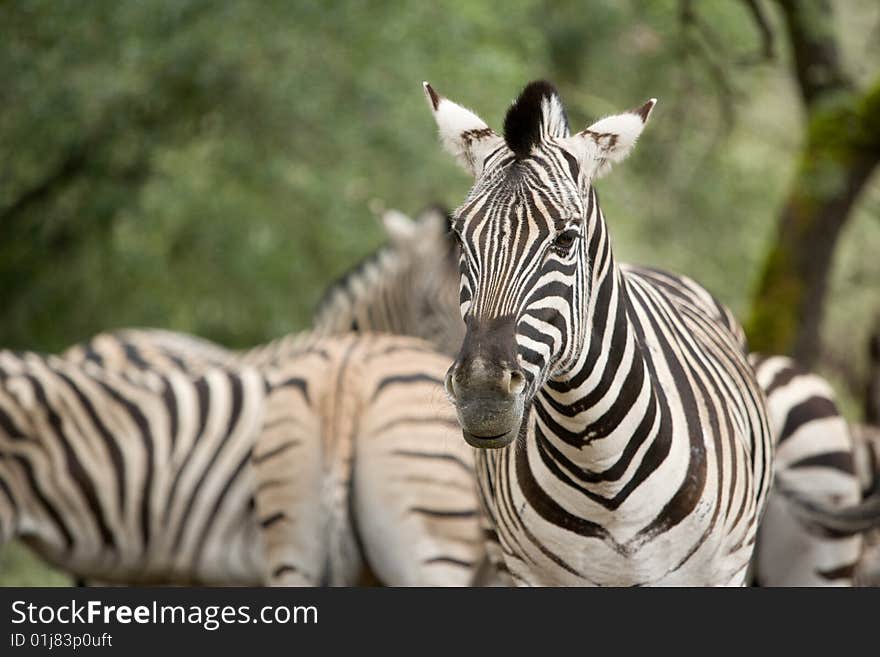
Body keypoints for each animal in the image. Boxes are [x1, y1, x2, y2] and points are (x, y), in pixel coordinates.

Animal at [426, 79, 776, 588]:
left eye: (566, 239)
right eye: (458, 237)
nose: (483, 394)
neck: (600, 464)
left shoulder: (720, 572)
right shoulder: (530, 575)